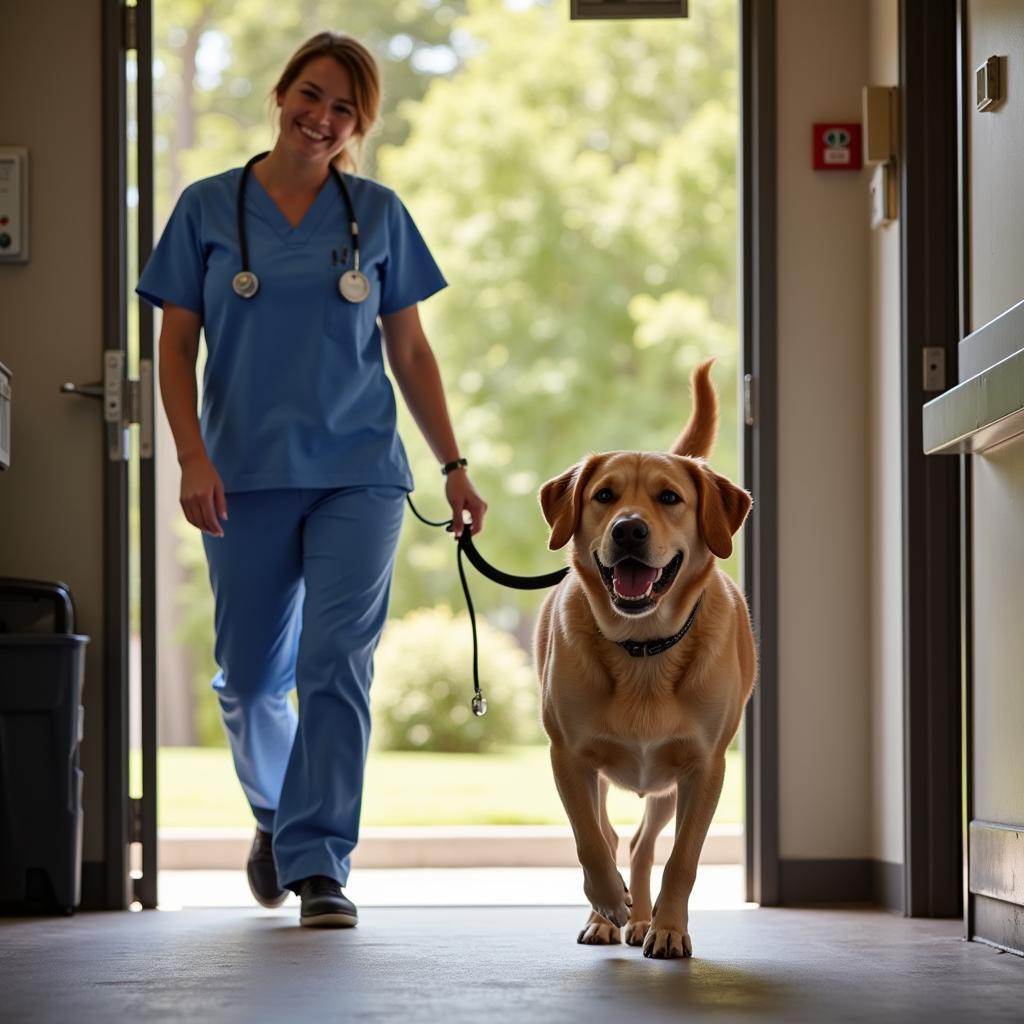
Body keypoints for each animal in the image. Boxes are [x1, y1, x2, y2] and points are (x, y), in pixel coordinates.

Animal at [532, 360, 757, 958]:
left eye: (670, 498)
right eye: (604, 495)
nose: (629, 528)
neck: (643, 648)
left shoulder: (705, 766)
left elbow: (683, 858)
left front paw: (669, 928)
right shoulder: (568, 756)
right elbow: (589, 840)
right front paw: (610, 901)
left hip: (666, 786)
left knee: (641, 842)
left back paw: (643, 920)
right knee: (614, 836)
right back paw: (611, 916)